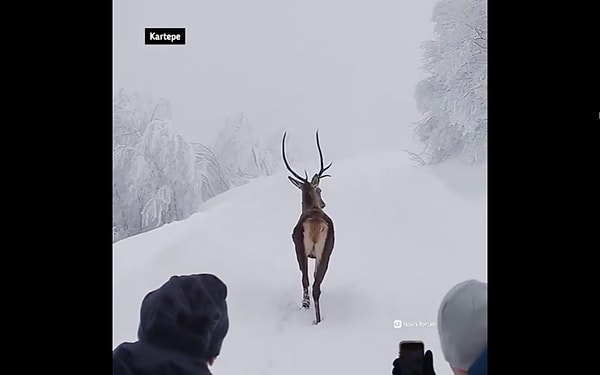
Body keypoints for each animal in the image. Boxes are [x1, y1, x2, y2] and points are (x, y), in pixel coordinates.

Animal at [280, 131, 332, 324]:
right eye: (320, 190)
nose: (323, 203)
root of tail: (316, 225)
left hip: (304, 249)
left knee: (308, 280)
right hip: (323, 251)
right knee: (315, 284)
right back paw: (316, 318)